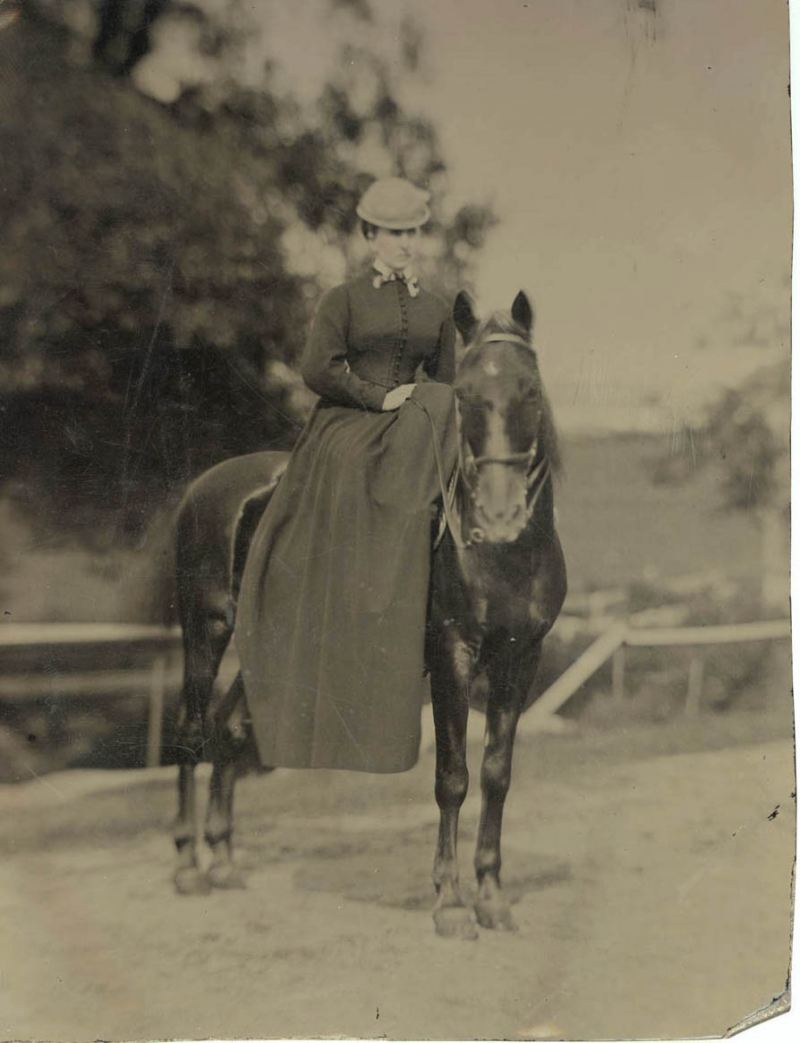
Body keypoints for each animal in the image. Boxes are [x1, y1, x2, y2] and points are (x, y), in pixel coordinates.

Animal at [172, 289, 567, 942]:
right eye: (464, 396)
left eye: (531, 390)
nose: (500, 515)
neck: (500, 554)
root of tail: (207, 484)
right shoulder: (452, 657)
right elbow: (453, 777)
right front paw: (450, 903)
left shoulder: (521, 657)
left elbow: (497, 773)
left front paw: (491, 896)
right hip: (205, 633)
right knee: (191, 727)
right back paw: (187, 864)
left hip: (268, 647)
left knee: (228, 729)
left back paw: (224, 859)